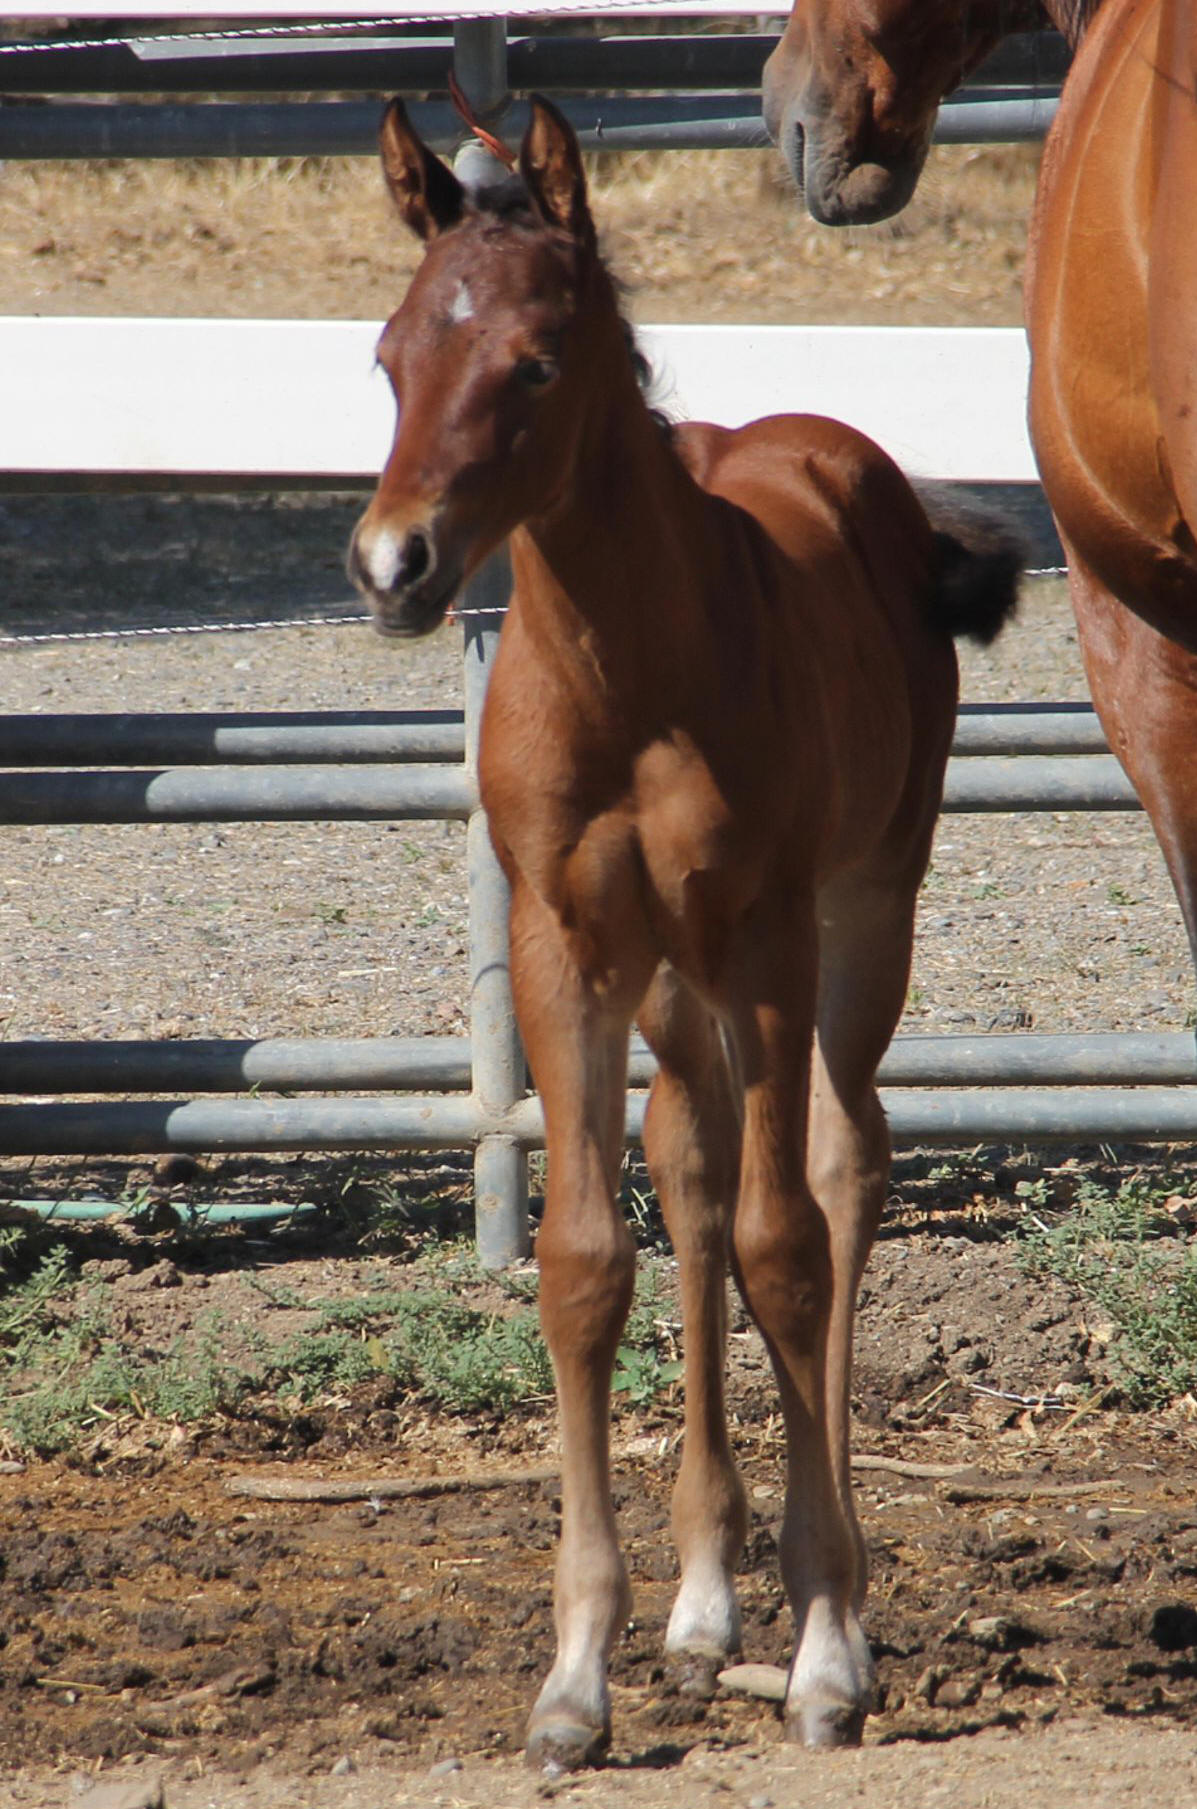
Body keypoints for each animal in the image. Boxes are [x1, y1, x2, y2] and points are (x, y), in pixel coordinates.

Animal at [349, 95, 1020, 1768]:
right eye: (388, 356)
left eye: (533, 362)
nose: (393, 567)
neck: (630, 670)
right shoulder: (565, 949)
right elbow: (590, 1259)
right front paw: (576, 1677)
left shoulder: (765, 934)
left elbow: (790, 1246)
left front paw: (830, 1648)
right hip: (674, 986)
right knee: (696, 1166)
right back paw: (710, 1604)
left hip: (860, 915)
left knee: (837, 1172)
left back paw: (825, 1596)